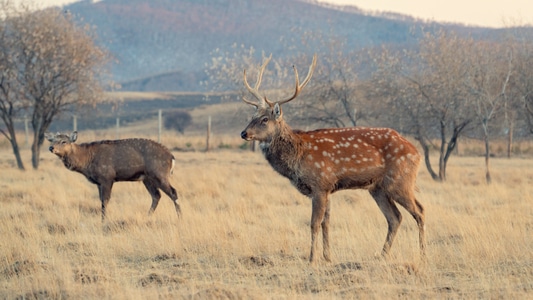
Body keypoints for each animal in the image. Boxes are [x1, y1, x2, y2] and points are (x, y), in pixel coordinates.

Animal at [45, 131, 181, 220]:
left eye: (64, 141)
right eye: (52, 140)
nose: (51, 148)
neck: (87, 161)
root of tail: (171, 157)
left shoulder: (107, 177)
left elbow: (105, 200)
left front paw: (104, 220)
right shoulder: (99, 182)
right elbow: (101, 200)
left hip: (159, 174)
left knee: (173, 192)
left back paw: (180, 217)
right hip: (147, 178)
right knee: (156, 195)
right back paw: (147, 216)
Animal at [240, 55, 424, 262]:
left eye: (265, 119)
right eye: (252, 116)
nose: (243, 133)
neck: (298, 157)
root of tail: (417, 153)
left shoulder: (320, 184)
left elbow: (314, 223)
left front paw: (312, 258)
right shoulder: (328, 188)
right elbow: (326, 223)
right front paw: (328, 257)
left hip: (401, 181)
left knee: (419, 211)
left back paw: (422, 255)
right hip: (377, 188)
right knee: (395, 217)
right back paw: (382, 255)